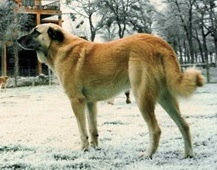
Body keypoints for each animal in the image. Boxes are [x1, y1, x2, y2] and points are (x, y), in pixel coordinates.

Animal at [17, 23, 204, 159]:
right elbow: (93, 129)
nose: (18, 39)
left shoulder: (76, 101)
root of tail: (159, 42)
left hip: (142, 97)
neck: (61, 48)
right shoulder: (90, 103)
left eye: (35, 31)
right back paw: (188, 155)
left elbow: (82, 130)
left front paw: (84, 150)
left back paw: (148, 154)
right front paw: (95, 149)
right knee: (184, 125)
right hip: (165, 98)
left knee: (156, 129)